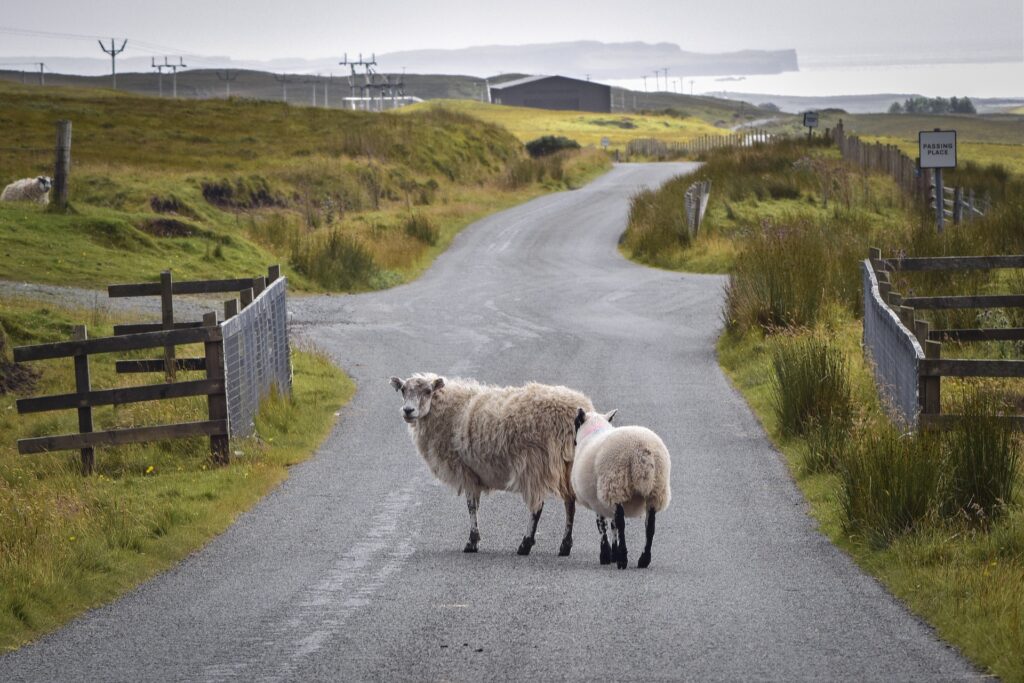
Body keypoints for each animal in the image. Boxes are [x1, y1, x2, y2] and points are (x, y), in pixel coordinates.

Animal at [390, 373, 594, 556]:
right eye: (403, 390)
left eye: (428, 391)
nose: (408, 410)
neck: (450, 409)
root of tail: (576, 409)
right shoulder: (474, 473)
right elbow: (475, 505)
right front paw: (474, 540)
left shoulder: (466, 471)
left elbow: (471, 506)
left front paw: (472, 542)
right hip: (568, 465)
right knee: (570, 504)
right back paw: (565, 546)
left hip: (535, 463)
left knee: (537, 507)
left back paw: (525, 545)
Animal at [571, 408, 672, 569]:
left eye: (575, 422)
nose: (573, 442)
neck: (595, 429)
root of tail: (641, 450)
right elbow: (612, 526)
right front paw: (613, 553)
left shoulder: (599, 498)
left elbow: (603, 525)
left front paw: (606, 555)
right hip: (655, 490)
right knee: (650, 526)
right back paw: (644, 559)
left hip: (616, 484)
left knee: (621, 523)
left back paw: (623, 559)